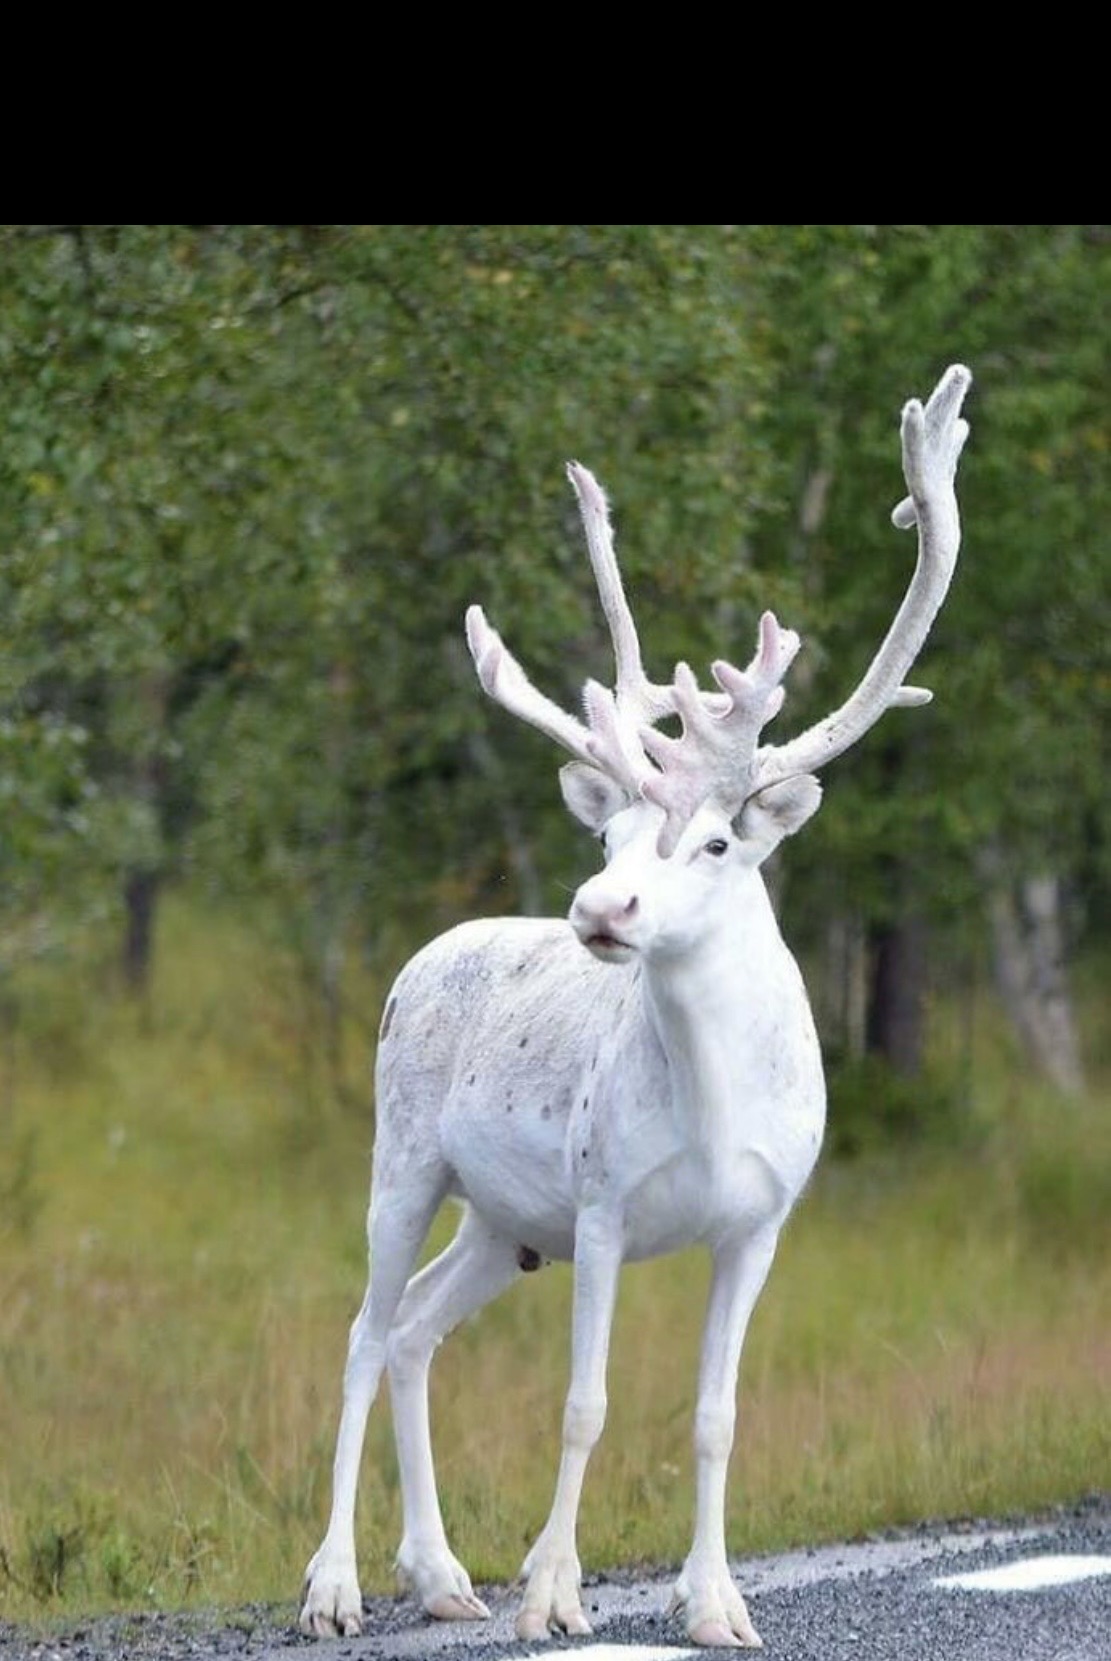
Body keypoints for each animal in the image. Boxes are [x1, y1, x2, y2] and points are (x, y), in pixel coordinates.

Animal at [299, 364, 972, 1648]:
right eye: (606, 834)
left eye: (713, 840)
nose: (599, 906)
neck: (710, 1106)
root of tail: (417, 960)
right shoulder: (603, 1202)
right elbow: (584, 1400)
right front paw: (553, 1593)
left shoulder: (759, 1221)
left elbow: (715, 1413)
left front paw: (714, 1601)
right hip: (403, 1156)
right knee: (359, 1328)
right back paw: (335, 1585)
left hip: (503, 1222)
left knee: (412, 1325)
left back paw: (442, 1570)